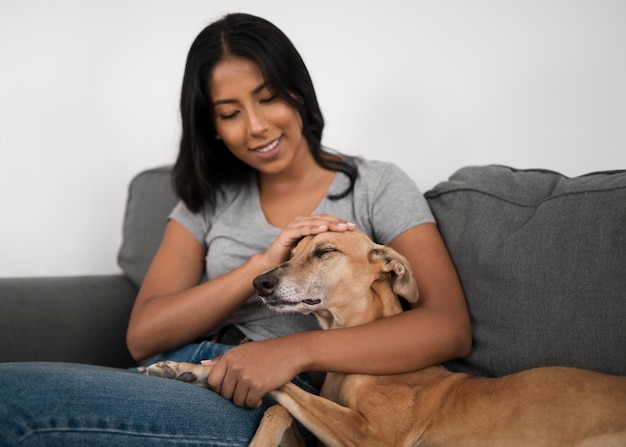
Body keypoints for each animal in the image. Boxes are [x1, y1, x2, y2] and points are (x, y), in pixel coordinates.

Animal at [140, 231, 624, 447]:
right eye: (292, 251)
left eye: (325, 251)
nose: (259, 282)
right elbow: (280, 412)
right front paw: (182, 369)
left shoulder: (372, 436)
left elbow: (285, 389)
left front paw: (227, 362)